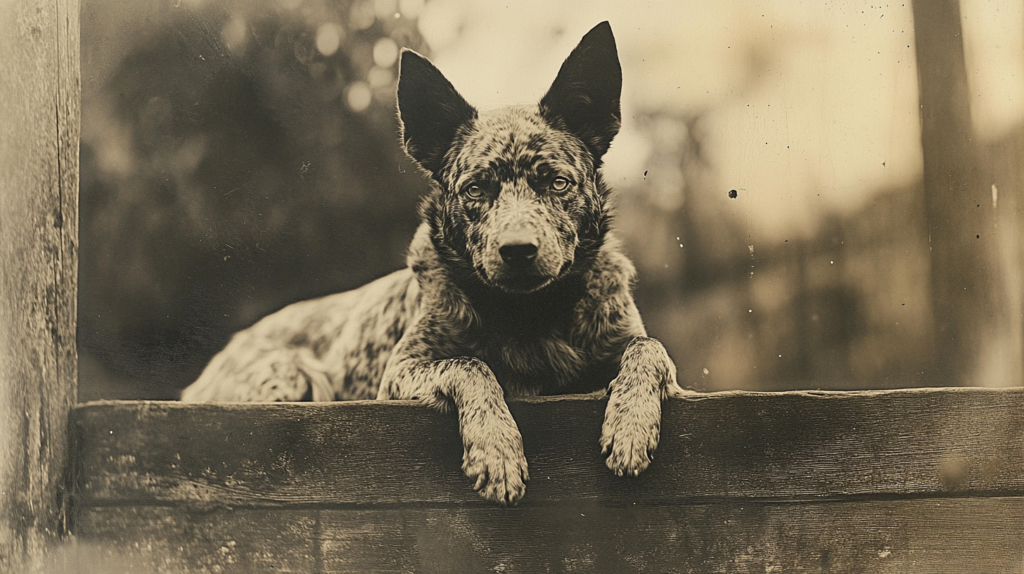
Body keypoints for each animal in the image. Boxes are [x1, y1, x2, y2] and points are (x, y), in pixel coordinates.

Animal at [184, 21, 692, 505]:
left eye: (557, 183)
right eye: (475, 189)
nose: (518, 250)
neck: (530, 317)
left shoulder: (630, 343)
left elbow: (649, 349)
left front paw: (630, 426)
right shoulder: (399, 372)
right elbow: (469, 365)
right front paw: (497, 451)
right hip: (291, 375)